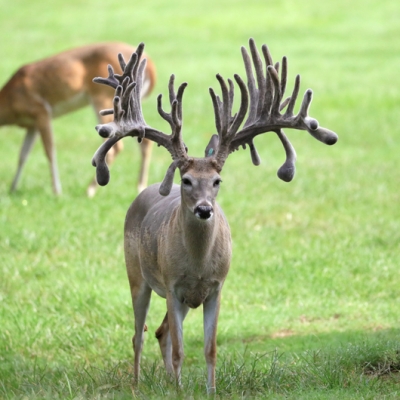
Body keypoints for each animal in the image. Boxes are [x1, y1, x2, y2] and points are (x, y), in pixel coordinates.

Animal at [0, 41, 156, 195]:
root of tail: (150, 65)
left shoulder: (42, 112)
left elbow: (50, 151)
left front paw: (57, 191)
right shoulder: (32, 125)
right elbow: (23, 155)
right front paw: (13, 188)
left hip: (104, 99)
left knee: (116, 147)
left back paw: (90, 190)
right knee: (144, 140)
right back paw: (140, 187)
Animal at [90, 39, 338, 392]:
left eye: (217, 180)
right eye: (186, 180)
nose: (205, 209)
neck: (197, 264)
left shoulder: (216, 288)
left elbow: (209, 349)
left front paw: (207, 390)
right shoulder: (173, 285)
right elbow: (181, 350)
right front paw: (180, 392)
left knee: (160, 332)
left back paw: (170, 382)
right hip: (137, 275)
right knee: (139, 334)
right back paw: (138, 384)